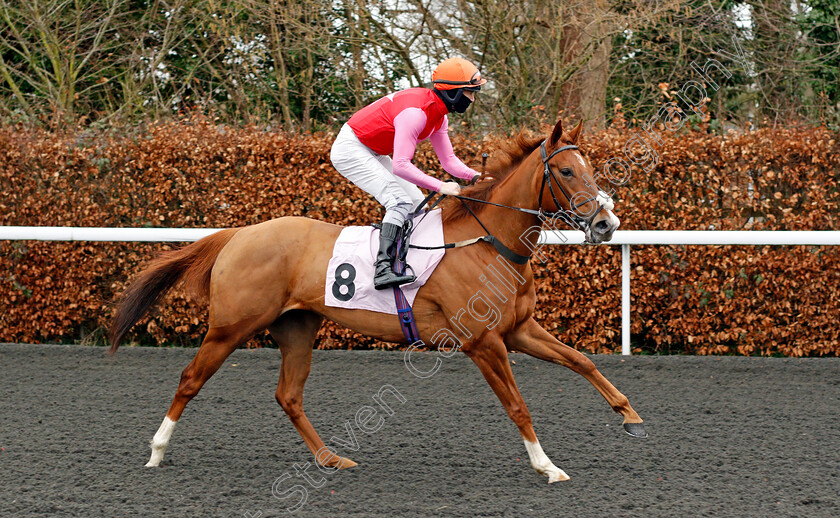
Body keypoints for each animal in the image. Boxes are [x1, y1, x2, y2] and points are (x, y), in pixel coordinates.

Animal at [108, 118, 648, 484]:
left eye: (590, 168)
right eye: (566, 171)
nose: (606, 224)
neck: (488, 241)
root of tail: (240, 233)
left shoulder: (518, 329)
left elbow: (581, 361)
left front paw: (630, 417)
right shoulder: (482, 342)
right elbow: (517, 405)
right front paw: (546, 465)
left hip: (297, 327)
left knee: (289, 395)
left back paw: (331, 458)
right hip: (229, 327)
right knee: (190, 379)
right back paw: (156, 450)